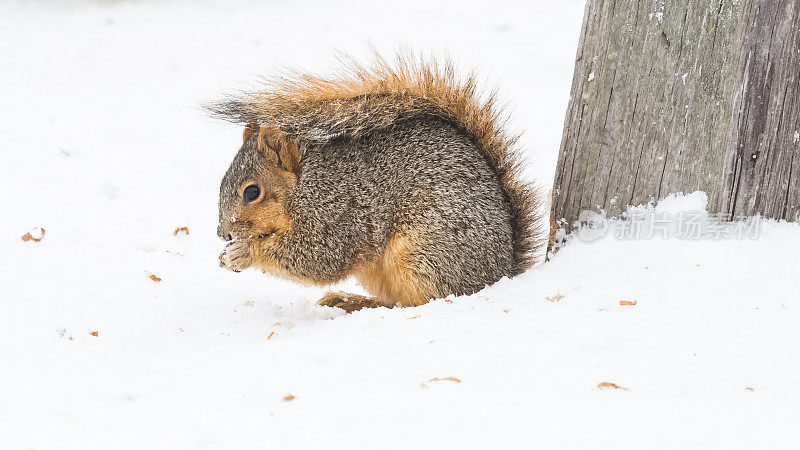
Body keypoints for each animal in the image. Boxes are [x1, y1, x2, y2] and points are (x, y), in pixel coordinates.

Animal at [208, 51, 544, 312]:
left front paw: (243, 253)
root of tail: (501, 271)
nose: (223, 234)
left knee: (422, 301)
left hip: (423, 251)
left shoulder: (335, 214)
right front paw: (227, 255)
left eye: (252, 192)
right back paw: (348, 300)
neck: (304, 185)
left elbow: (318, 259)